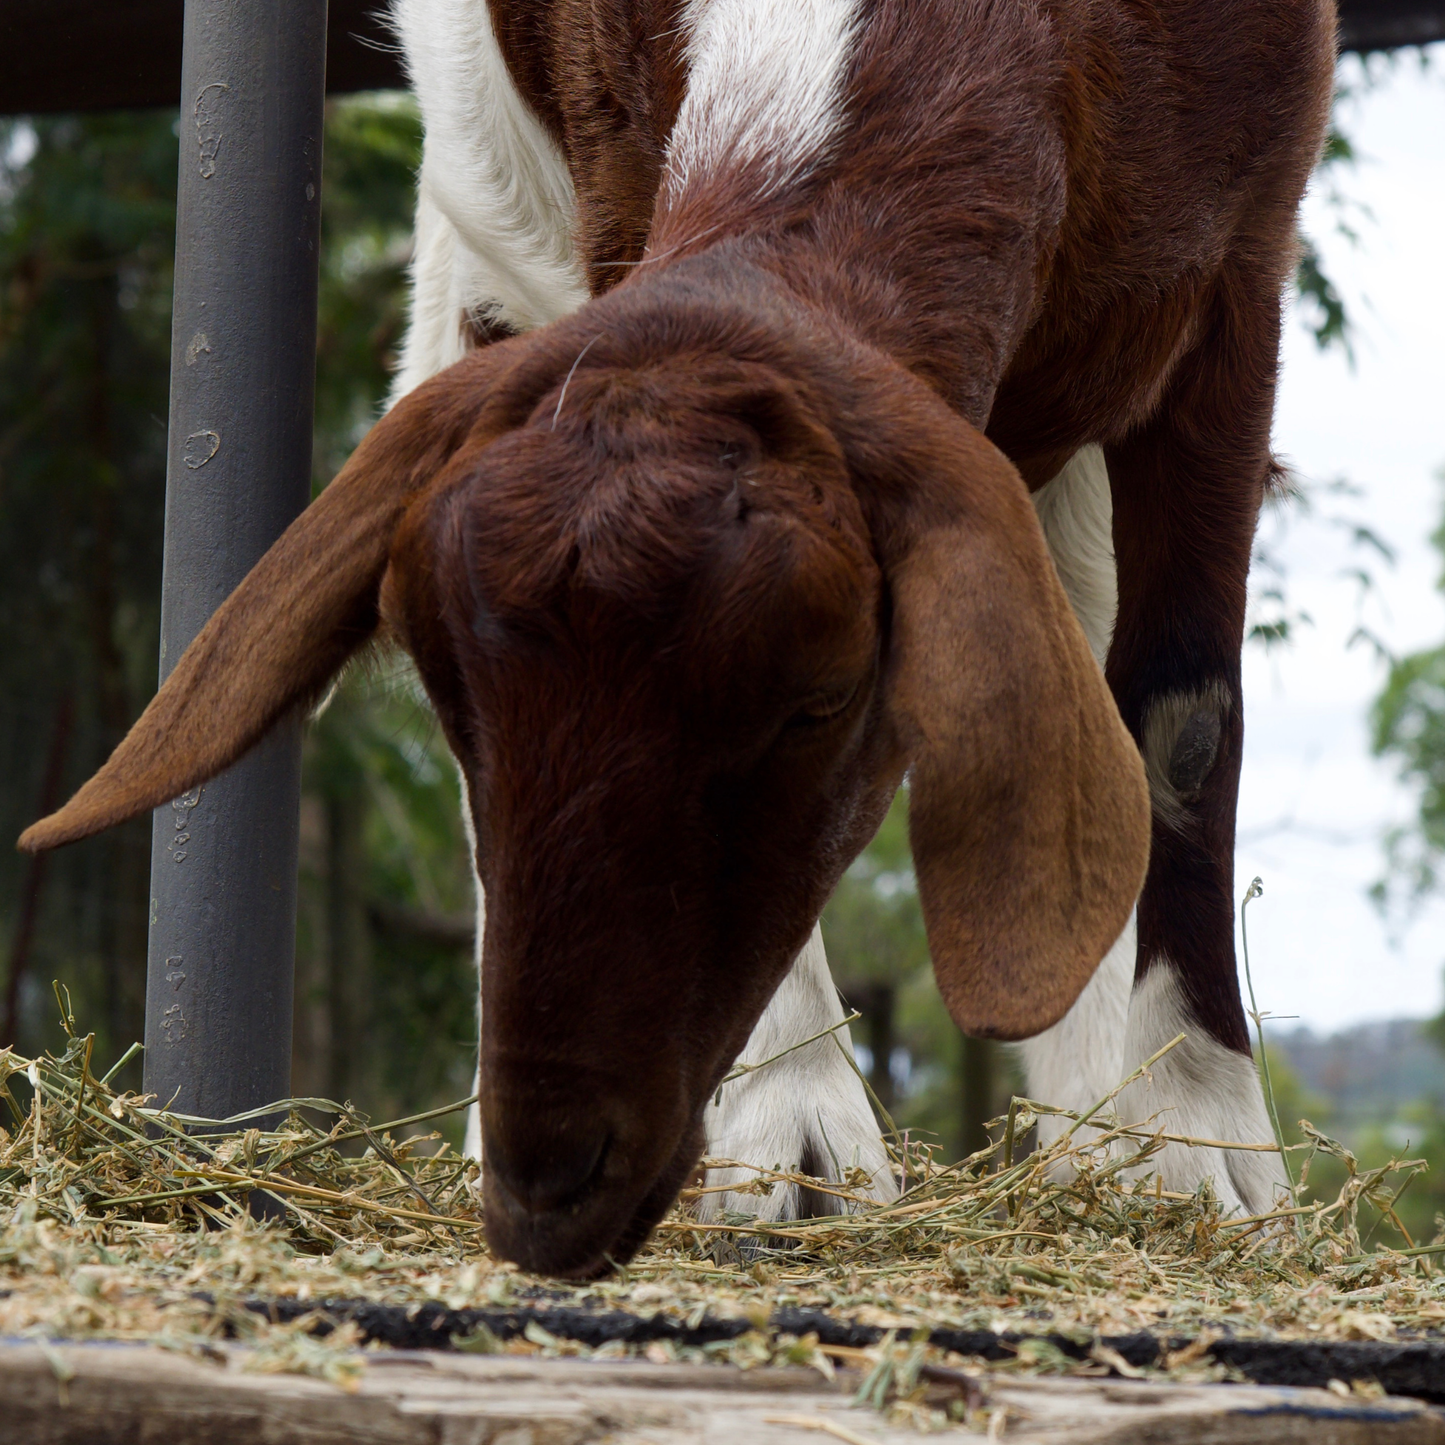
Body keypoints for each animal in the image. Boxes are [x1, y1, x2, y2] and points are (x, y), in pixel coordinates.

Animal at [21, 0, 1335, 1277]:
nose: (547, 1189)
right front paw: (787, 1135)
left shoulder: (1243, 256)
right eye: (456, 700)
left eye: (822, 700)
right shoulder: (606, 186)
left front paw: (1197, 1141)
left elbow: (1180, 726)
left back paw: (1086, 1135)